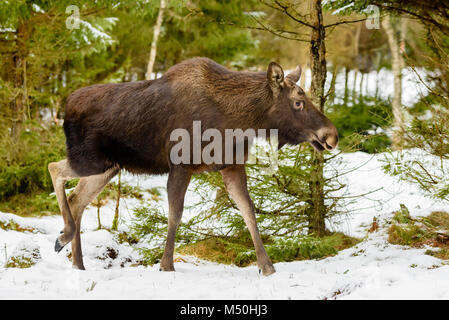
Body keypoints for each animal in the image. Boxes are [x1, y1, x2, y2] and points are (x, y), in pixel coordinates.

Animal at [49, 57, 336, 276]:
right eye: (298, 102)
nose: (331, 135)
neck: (238, 121)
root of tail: (66, 106)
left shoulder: (231, 165)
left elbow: (248, 211)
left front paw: (267, 266)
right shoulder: (181, 164)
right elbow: (175, 214)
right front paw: (166, 265)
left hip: (108, 167)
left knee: (77, 200)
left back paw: (77, 263)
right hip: (89, 160)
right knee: (54, 168)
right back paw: (63, 237)